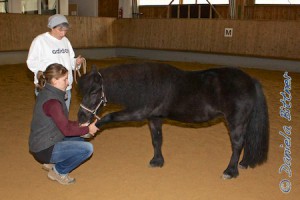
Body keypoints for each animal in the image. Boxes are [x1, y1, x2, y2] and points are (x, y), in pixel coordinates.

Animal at [77, 61, 270, 179]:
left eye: (94, 92)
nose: (81, 117)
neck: (147, 84)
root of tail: (250, 81)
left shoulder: (138, 113)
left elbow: (110, 116)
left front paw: (89, 130)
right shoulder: (154, 118)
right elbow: (157, 140)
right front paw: (157, 161)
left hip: (236, 122)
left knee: (237, 144)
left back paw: (230, 171)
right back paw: (243, 163)